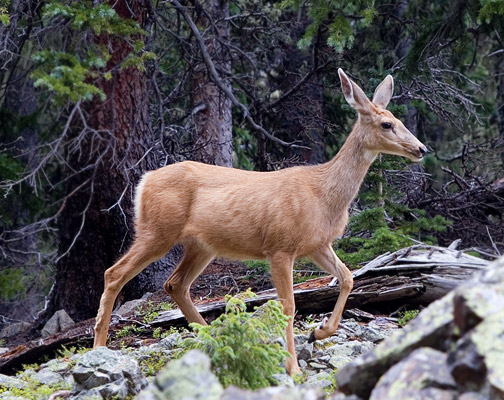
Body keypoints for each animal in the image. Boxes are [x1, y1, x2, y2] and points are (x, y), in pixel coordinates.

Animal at [93, 69, 426, 376]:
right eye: (387, 124)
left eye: (399, 119)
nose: (421, 149)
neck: (323, 194)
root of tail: (144, 181)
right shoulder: (280, 247)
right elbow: (288, 305)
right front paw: (293, 368)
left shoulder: (317, 244)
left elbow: (347, 278)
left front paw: (318, 332)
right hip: (158, 230)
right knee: (114, 273)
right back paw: (99, 347)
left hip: (201, 245)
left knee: (175, 284)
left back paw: (213, 337)